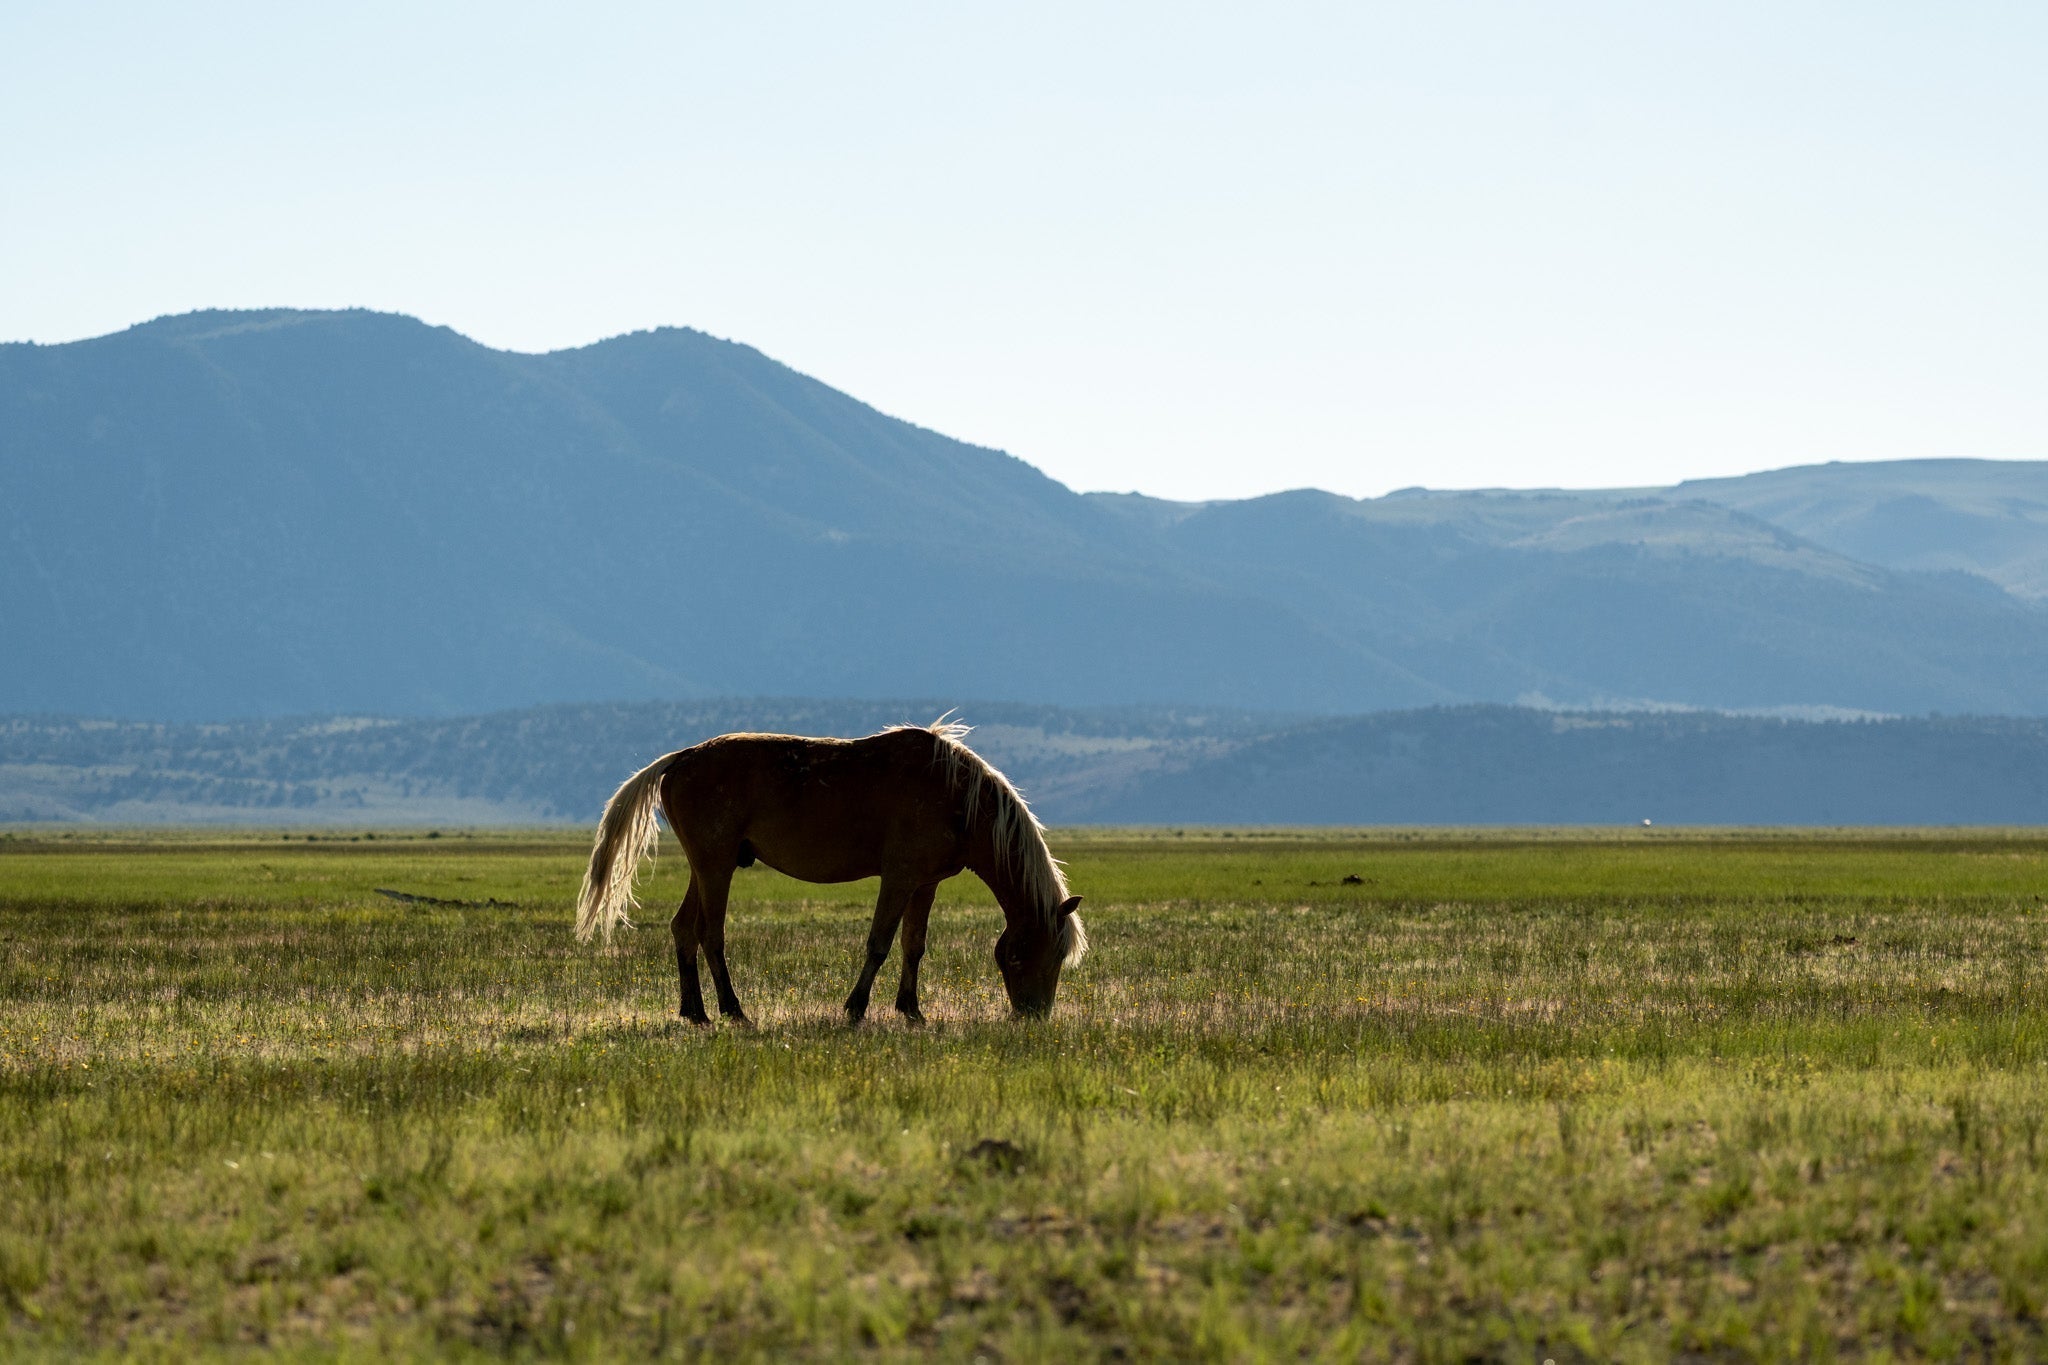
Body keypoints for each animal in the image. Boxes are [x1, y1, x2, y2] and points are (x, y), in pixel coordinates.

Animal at [575, 719, 1087, 1023]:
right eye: (1030, 955)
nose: (1033, 1015)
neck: (958, 797)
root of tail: (680, 759)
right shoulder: (899, 877)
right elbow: (879, 943)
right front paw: (856, 1007)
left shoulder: (924, 884)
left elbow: (914, 946)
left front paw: (912, 1010)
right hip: (715, 866)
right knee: (709, 934)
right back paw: (732, 1009)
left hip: (706, 868)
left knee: (683, 928)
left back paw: (694, 1011)